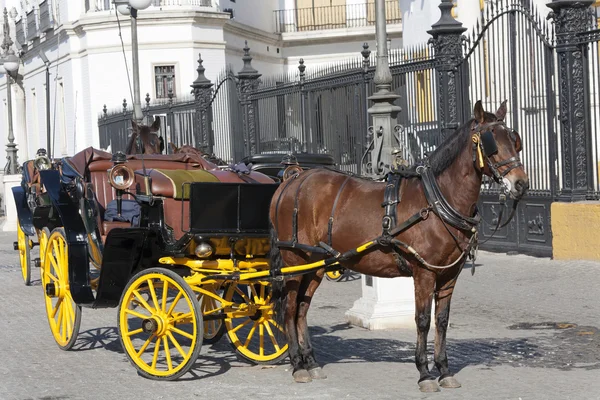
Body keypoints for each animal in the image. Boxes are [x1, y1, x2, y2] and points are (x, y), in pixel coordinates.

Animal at [270, 100, 528, 390]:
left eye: (515, 141)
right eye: (490, 142)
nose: (521, 183)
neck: (435, 202)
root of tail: (292, 179)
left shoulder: (449, 274)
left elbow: (442, 320)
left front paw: (444, 369)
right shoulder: (424, 273)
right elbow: (423, 320)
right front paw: (425, 373)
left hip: (315, 265)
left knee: (302, 309)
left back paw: (311, 362)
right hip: (294, 262)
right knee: (290, 308)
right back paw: (297, 364)